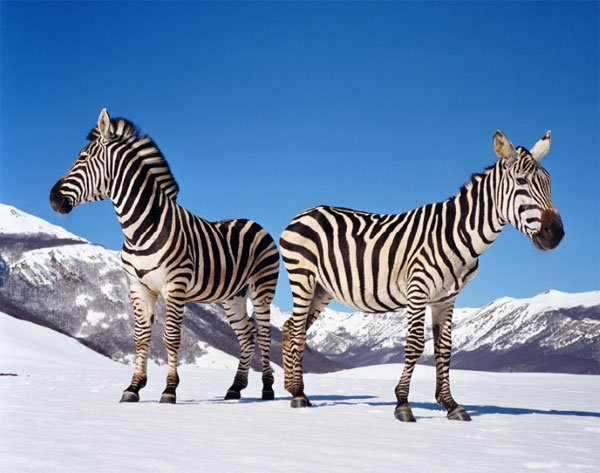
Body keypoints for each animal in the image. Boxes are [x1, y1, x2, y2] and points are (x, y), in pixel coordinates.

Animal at [49, 109, 278, 404]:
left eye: (83, 158)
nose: (53, 199)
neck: (139, 229)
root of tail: (253, 222)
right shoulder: (138, 287)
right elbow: (141, 337)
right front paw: (133, 387)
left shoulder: (175, 285)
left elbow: (171, 337)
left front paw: (169, 390)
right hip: (233, 296)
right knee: (247, 336)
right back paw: (235, 388)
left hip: (262, 289)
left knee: (263, 335)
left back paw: (268, 388)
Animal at [280, 128, 564, 420]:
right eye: (521, 181)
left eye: (549, 183)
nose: (556, 234)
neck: (457, 234)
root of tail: (305, 213)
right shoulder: (418, 288)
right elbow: (415, 344)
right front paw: (403, 404)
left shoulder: (445, 298)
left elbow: (444, 349)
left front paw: (450, 404)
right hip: (302, 277)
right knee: (297, 328)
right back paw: (298, 394)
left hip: (322, 288)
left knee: (290, 327)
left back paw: (294, 390)